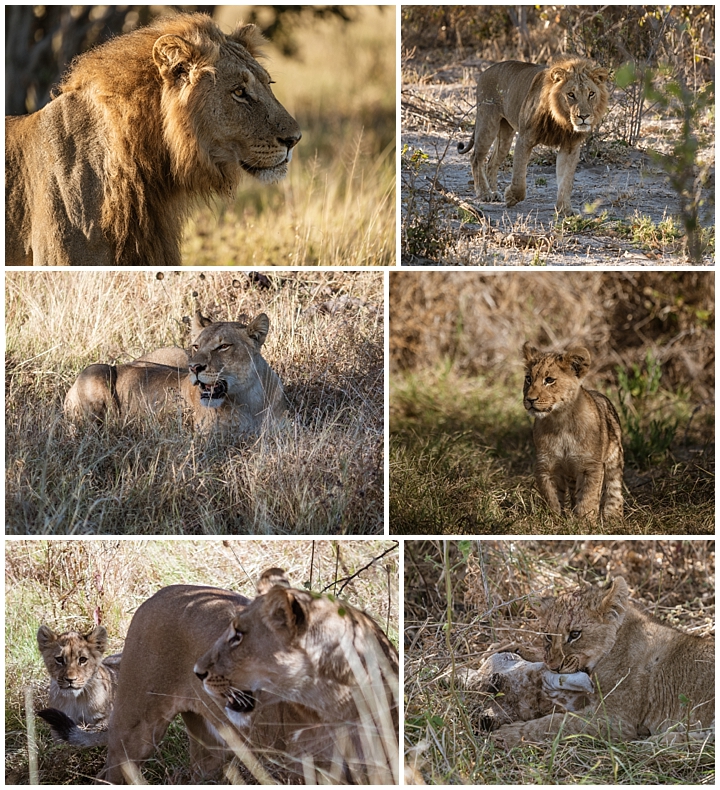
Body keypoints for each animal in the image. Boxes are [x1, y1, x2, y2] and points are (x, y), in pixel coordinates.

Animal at [101, 568, 400, 784]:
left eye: (238, 636)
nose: (198, 672)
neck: (337, 702)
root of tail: (158, 594)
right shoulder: (302, 770)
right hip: (133, 732)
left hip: (211, 749)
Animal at [456, 57, 608, 215]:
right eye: (571, 94)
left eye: (591, 94)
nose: (584, 117)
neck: (561, 119)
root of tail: (486, 70)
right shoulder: (524, 139)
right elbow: (519, 180)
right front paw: (511, 197)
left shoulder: (570, 146)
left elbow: (566, 182)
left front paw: (565, 210)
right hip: (488, 122)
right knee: (476, 158)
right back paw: (484, 193)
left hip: (505, 135)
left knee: (492, 162)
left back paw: (494, 192)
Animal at [496, 580, 716, 744]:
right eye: (548, 636)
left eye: (575, 634)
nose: (554, 667)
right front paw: (513, 648)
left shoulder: (615, 720)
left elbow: (557, 723)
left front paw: (509, 734)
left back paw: (663, 740)